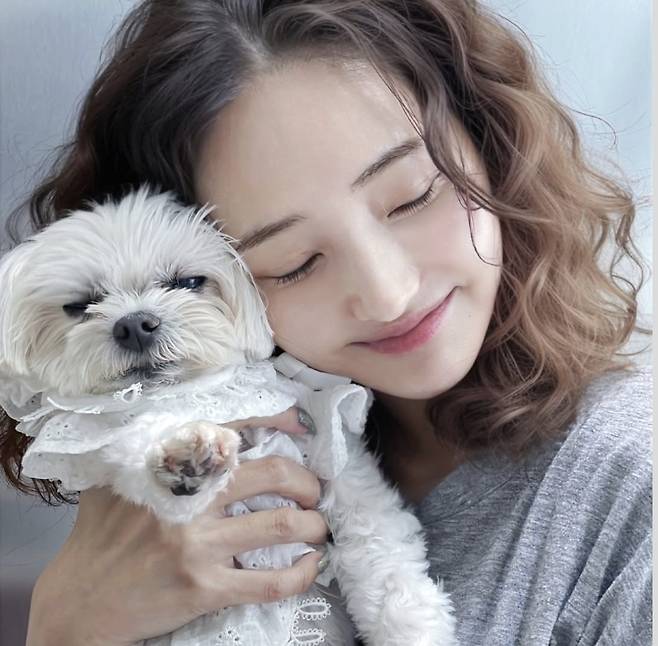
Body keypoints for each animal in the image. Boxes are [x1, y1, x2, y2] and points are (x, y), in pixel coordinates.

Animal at [0, 186, 456, 645]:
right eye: (79, 306)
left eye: (187, 282)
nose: (134, 324)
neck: (203, 393)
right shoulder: (100, 435)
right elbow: (136, 437)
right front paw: (184, 451)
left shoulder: (326, 444)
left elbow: (379, 549)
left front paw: (417, 627)